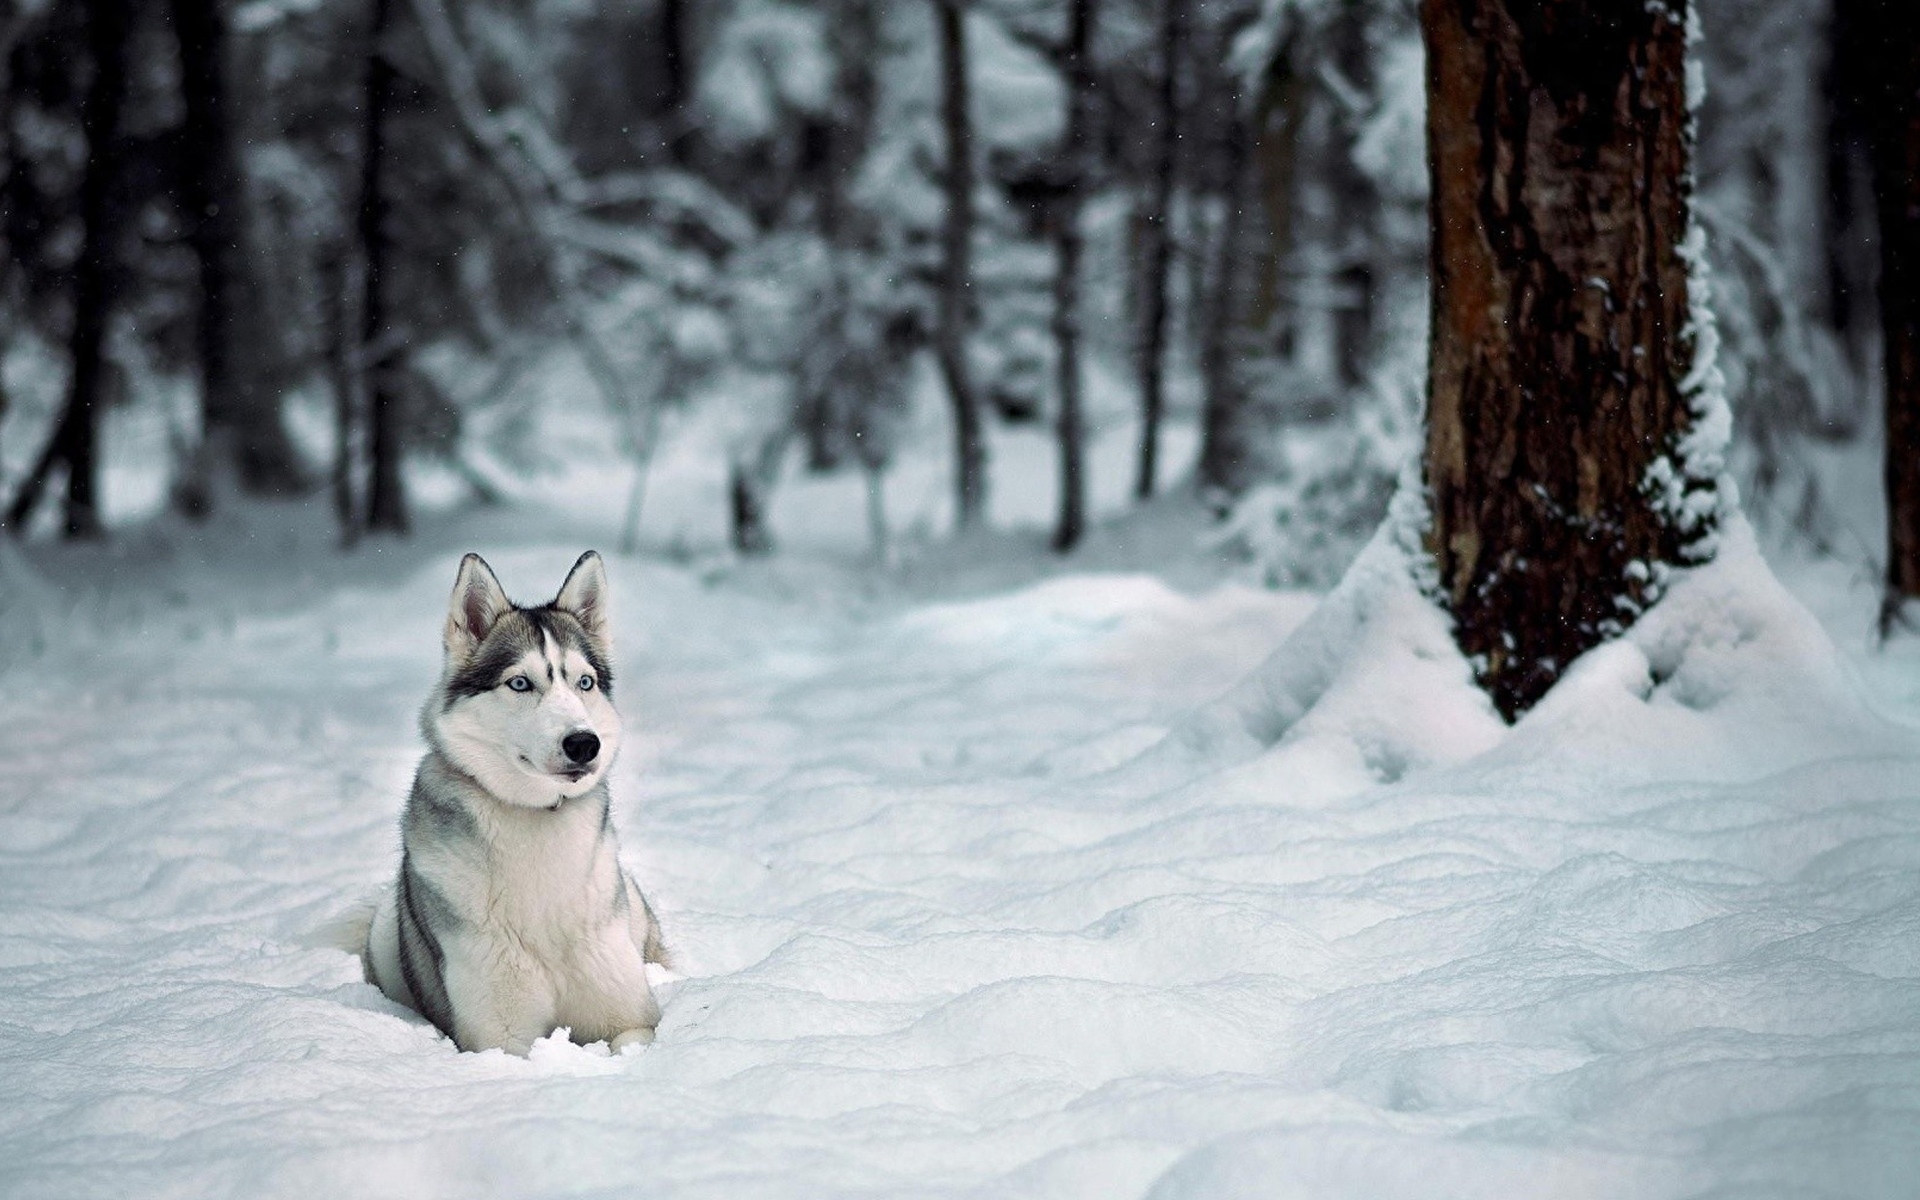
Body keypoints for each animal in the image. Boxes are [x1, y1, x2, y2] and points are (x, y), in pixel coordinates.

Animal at [364, 549, 668, 1052]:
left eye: (585, 683)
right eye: (520, 683)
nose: (583, 743)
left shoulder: (632, 1021)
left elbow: (632, 1035)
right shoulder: (499, 1039)